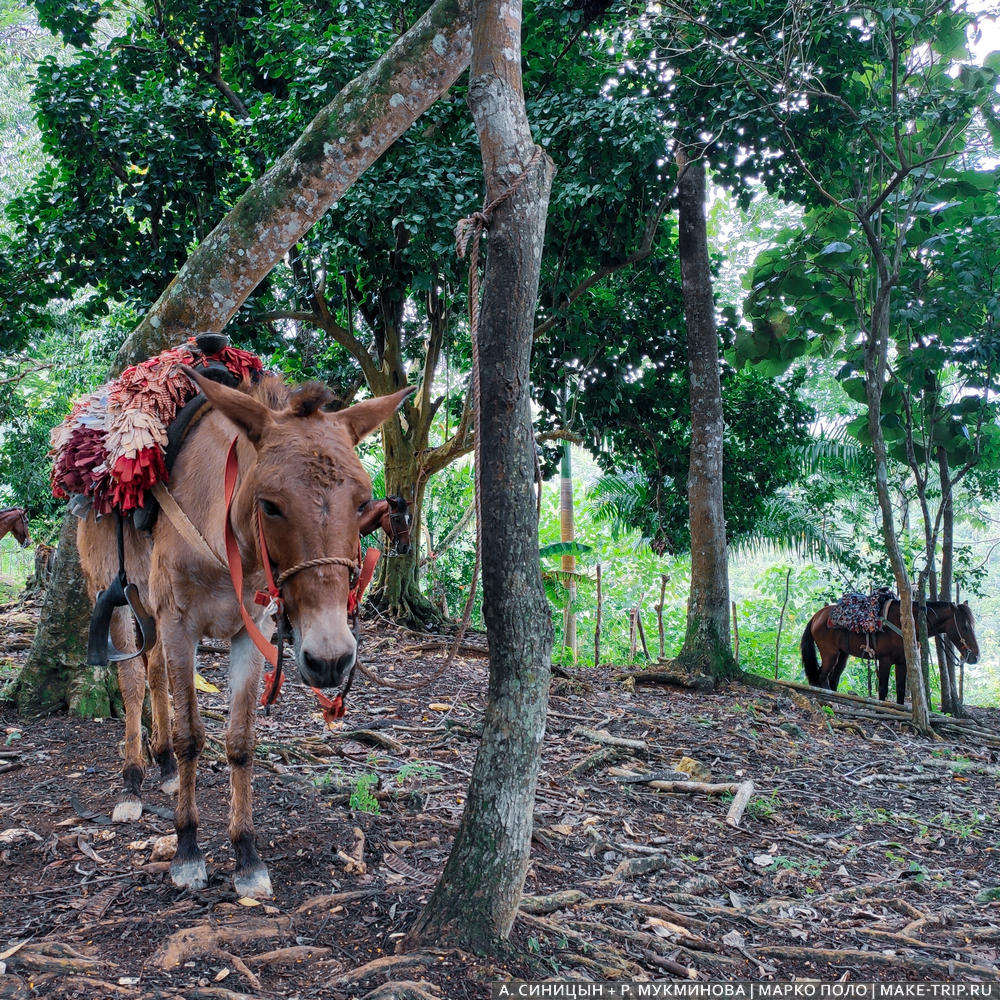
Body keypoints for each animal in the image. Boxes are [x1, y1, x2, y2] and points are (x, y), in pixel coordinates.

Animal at [76, 370, 408, 900]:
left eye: (362, 504)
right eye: (270, 505)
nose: (330, 659)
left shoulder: (252, 633)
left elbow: (240, 740)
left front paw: (247, 855)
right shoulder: (180, 626)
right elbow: (193, 734)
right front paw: (188, 849)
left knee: (154, 676)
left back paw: (164, 767)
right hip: (114, 600)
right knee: (132, 684)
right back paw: (132, 780)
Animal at [800, 596, 980, 708]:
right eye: (965, 626)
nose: (975, 656)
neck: (906, 625)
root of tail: (816, 616)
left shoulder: (903, 663)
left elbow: (900, 690)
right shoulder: (885, 660)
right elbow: (883, 689)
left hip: (843, 655)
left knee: (833, 679)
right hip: (830, 653)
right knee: (821, 676)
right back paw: (826, 702)